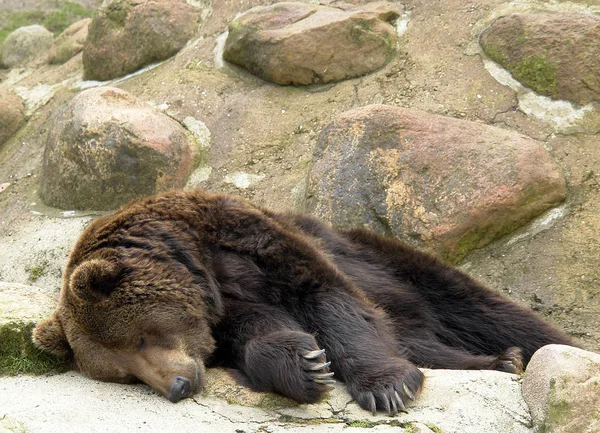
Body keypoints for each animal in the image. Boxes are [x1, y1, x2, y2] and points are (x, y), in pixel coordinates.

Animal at [31, 189, 572, 412]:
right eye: (125, 373)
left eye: (142, 338)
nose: (178, 386)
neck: (202, 269)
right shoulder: (228, 315)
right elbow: (259, 337)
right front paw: (306, 364)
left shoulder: (247, 239)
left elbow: (327, 296)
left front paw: (385, 388)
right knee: (418, 339)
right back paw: (500, 361)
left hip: (389, 260)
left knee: (479, 308)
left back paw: (520, 351)